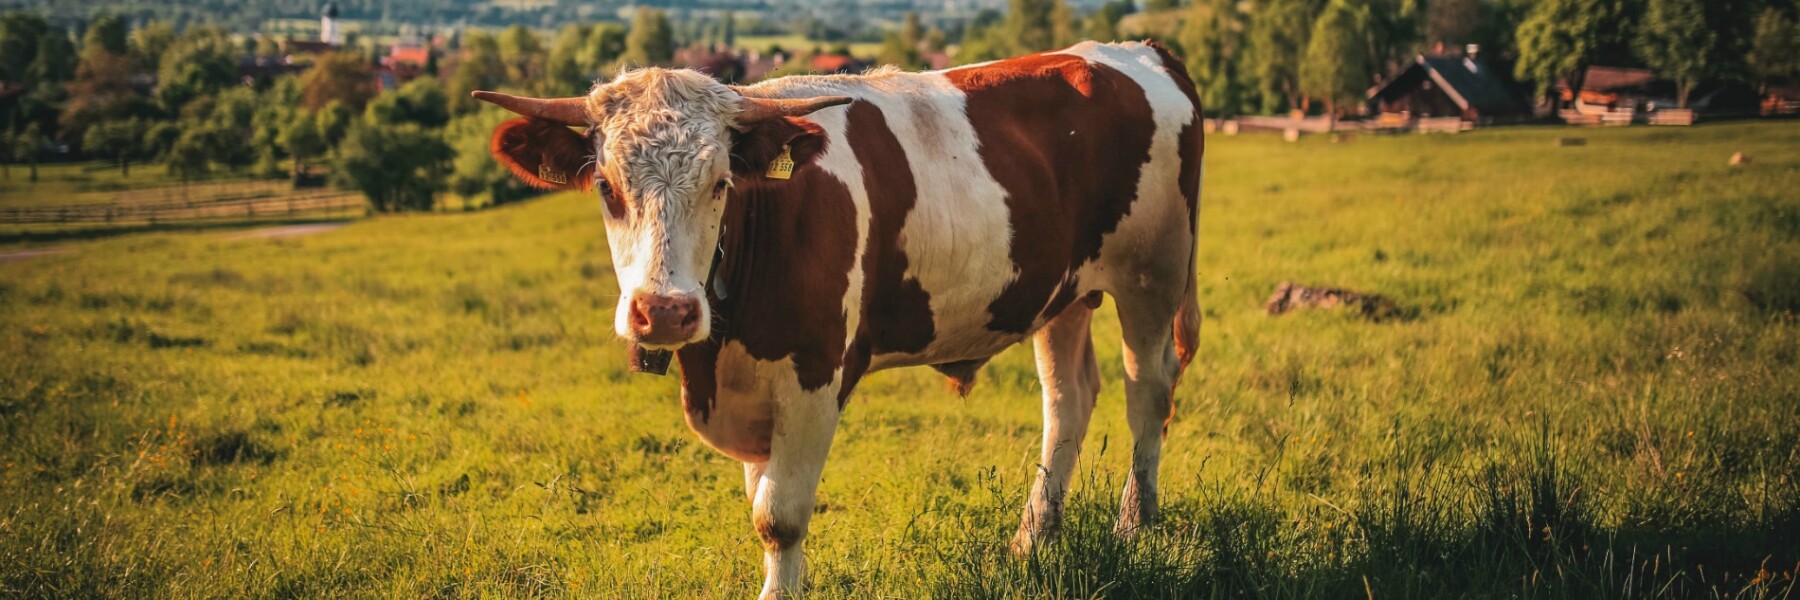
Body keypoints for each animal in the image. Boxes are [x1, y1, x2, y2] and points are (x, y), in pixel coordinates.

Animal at [473, 40, 1203, 598]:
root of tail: (1134, 50)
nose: (665, 310)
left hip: (1153, 272)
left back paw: (1135, 524)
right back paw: (1033, 538)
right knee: (1068, 399)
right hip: (1064, 293)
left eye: (720, 184)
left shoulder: (815, 375)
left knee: (1147, 389)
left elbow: (779, 516)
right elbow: (760, 500)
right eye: (606, 187)